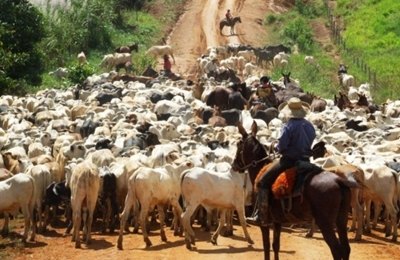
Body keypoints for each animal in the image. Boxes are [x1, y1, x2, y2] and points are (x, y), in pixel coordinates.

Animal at [231, 121, 356, 258]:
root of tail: (338, 181)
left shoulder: (264, 223)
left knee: (336, 250)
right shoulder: (277, 221)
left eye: (238, 144)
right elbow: (275, 246)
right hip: (341, 220)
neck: (260, 168)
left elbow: (266, 247)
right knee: (346, 249)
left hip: (325, 223)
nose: (234, 165)